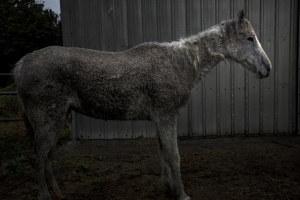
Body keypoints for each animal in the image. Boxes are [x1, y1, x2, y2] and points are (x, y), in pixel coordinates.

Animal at [14, 9, 272, 200]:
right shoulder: (166, 115)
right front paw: (181, 193)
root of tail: (20, 66)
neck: (183, 62)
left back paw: (58, 193)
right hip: (47, 119)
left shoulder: (159, 118)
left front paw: (168, 187)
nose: (267, 68)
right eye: (249, 37)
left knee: (48, 156)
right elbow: (173, 155)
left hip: (58, 118)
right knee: (37, 157)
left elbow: (163, 153)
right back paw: (46, 196)